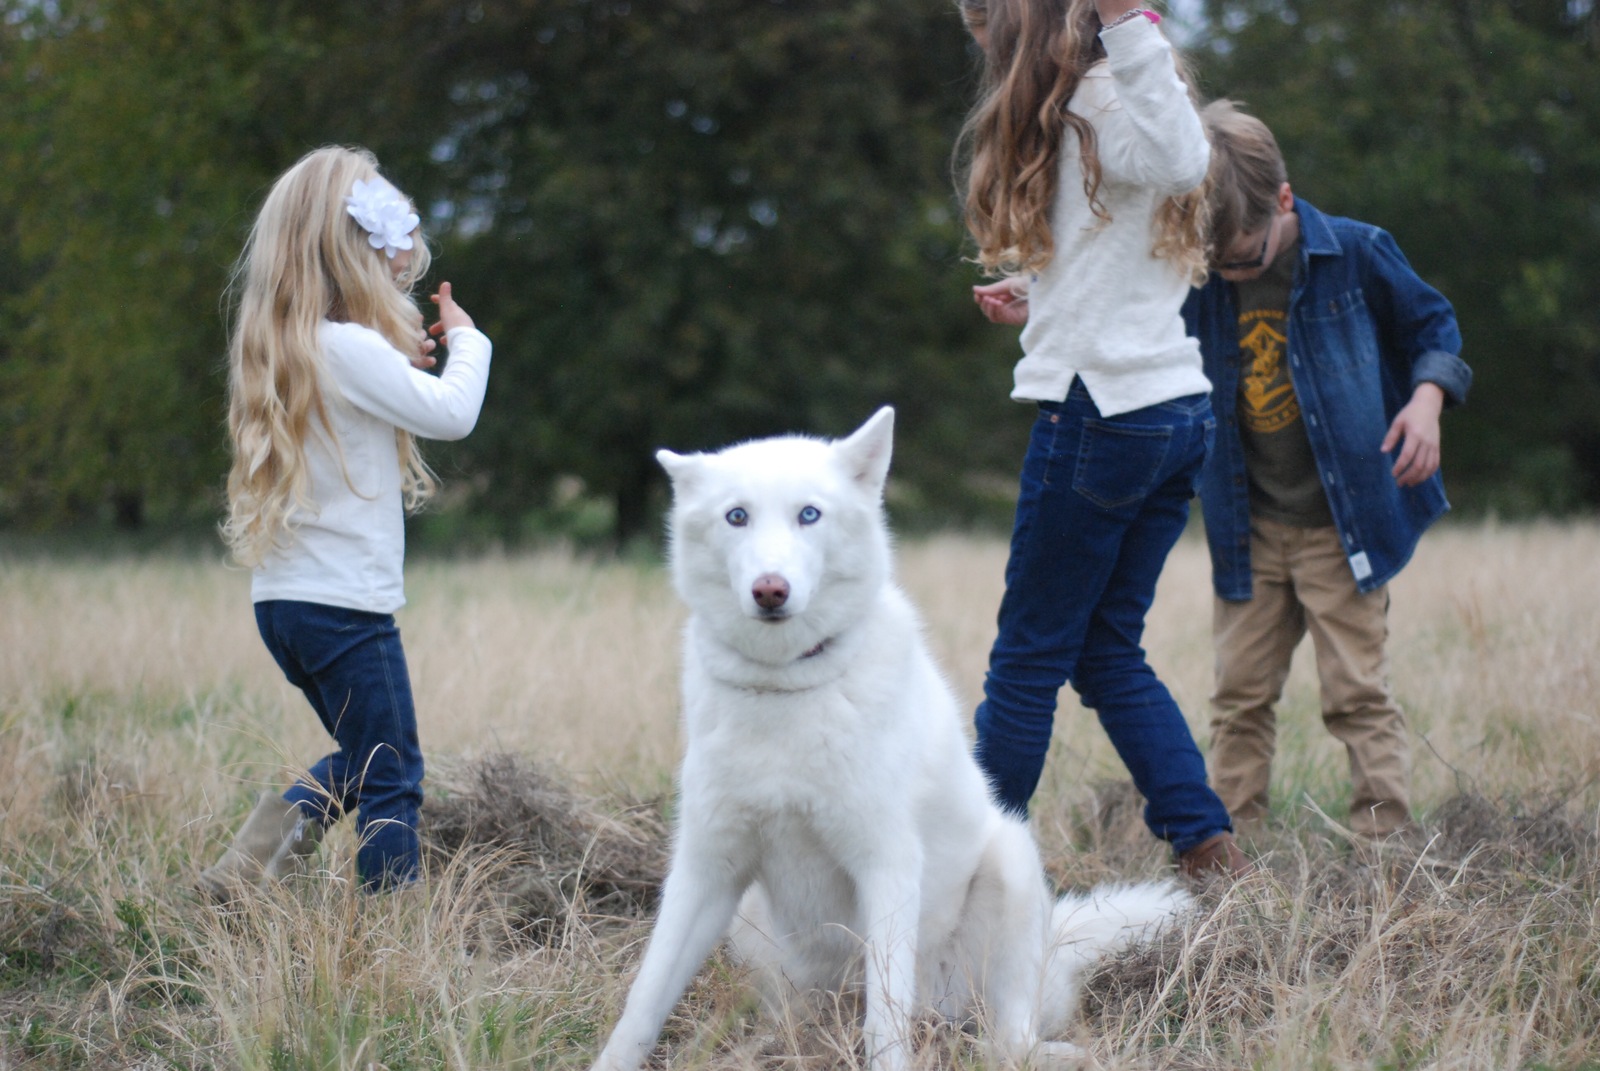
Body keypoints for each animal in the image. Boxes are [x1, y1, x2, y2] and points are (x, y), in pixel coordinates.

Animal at [592, 409, 1190, 1069]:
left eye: (809, 514)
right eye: (736, 516)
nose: (770, 589)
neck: (787, 686)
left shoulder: (886, 865)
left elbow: (884, 1020)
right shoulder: (705, 870)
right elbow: (644, 1001)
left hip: (1009, 861)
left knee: (1003, 1039)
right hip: (760, 935)